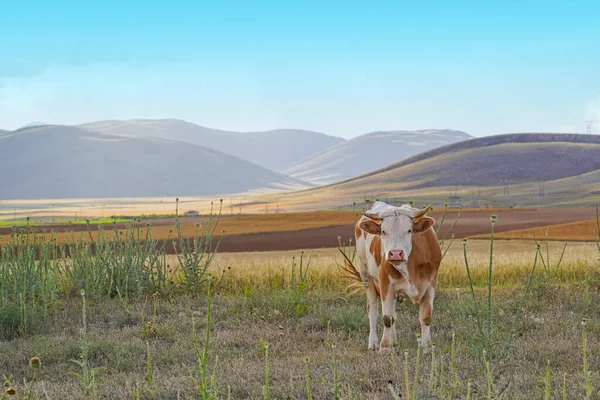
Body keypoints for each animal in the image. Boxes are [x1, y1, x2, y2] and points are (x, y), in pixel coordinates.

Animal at [340, 203, 442, 354]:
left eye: (409, 230)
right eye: (383, 232)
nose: (395, 253)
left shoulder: (431, 284)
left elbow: (426, 317)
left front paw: (427, 347)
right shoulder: (385, 283)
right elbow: (387, 318)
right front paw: (385, 347)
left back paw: (394, 342)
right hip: (366, 276)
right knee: (373, 311)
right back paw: (374, 343)